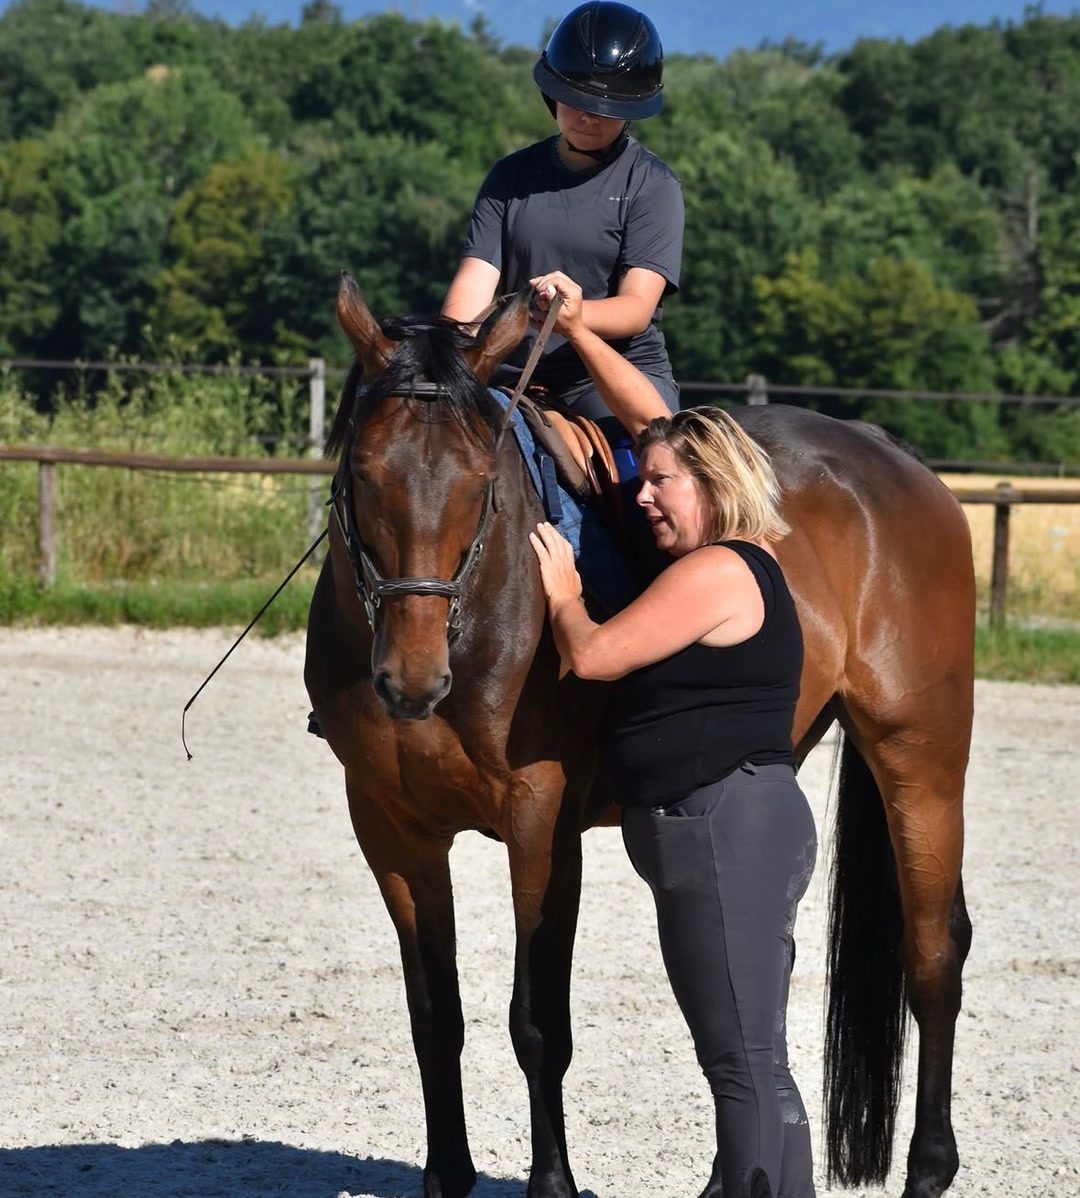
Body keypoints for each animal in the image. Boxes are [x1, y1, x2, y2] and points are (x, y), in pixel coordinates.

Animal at [304, 274, 974, 1198]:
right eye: (365, 476)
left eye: (479, 482)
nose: (411, 678)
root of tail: (889, 454)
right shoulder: (390, 829)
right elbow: (434, 1016)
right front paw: (448, 1176)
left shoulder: (541, 821)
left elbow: (537, 1021)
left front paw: (552, 1183)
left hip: (921, 758)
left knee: (933, 952)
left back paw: (927, 1168)